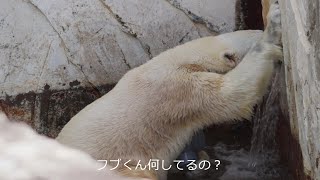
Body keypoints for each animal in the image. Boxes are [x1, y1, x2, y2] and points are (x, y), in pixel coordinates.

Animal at [56, 2, 282, 179]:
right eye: (258, 31)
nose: (262, 29)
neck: (181, 58)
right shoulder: (178, 90)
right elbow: (231, 95)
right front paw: (273, 31)